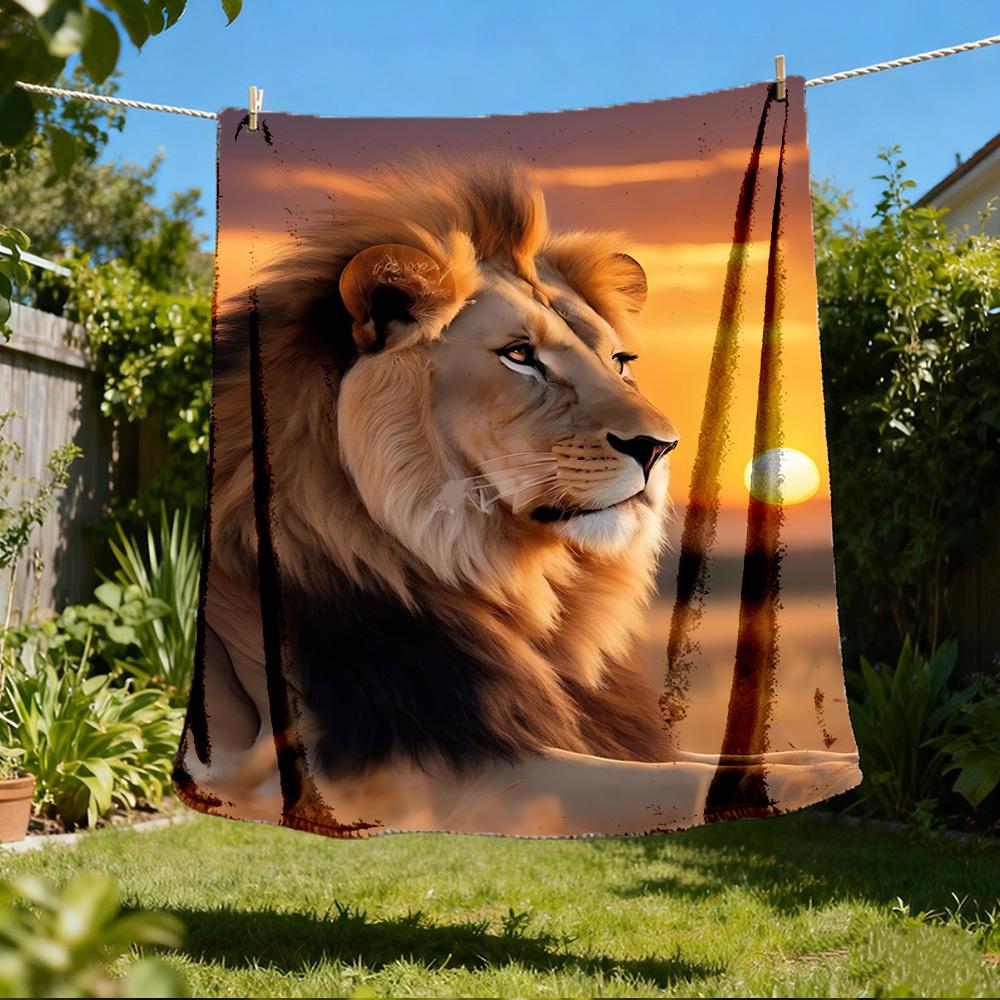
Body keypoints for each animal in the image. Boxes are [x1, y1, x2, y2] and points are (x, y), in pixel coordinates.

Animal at [177, 154, 860, 836]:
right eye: (519, 355)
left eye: (619, 360)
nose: (660, 447)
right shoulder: (427, 775)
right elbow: (691, 783)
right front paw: (821, 782)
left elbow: (727, 760)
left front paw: (834, 764)